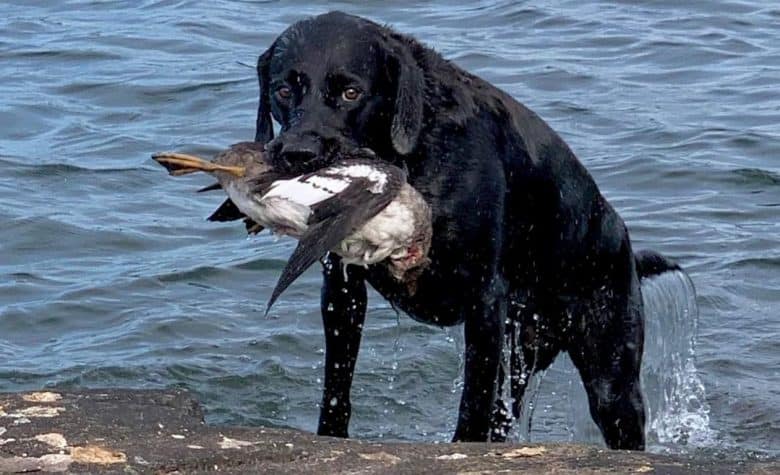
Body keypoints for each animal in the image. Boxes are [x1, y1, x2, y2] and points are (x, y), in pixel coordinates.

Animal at [250, 11, 684, 450]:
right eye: (283, 89)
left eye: (351, 92)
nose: (298, 153)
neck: (415, 155)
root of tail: (623, 242)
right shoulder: (342, 290)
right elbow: (338, 383)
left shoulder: (484, 299)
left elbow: (473, 401)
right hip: (522, 354)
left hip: (611, 376)